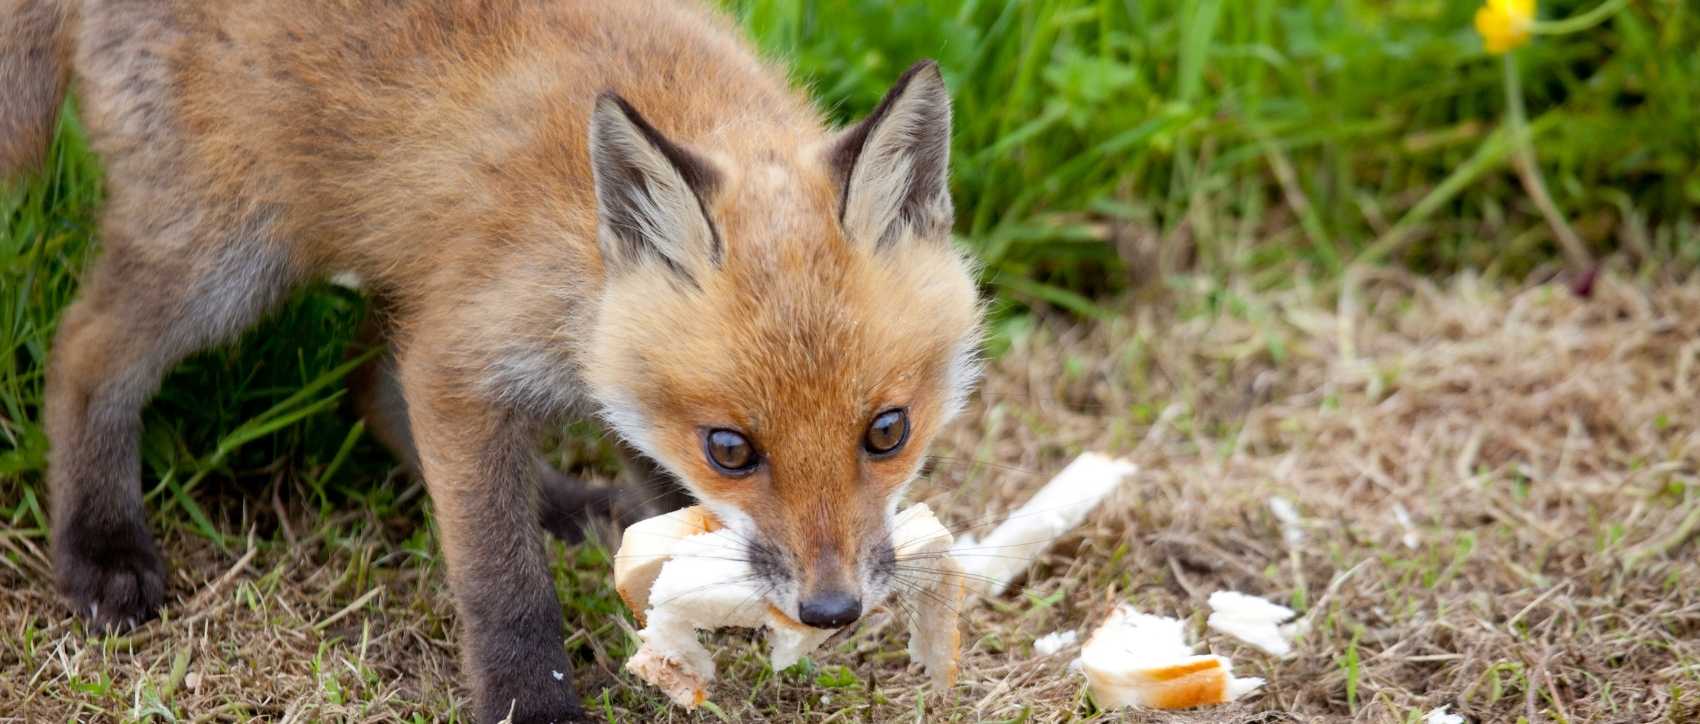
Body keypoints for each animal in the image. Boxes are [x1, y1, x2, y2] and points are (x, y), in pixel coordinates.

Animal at [0, 0, 986, 717]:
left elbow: (637, 460)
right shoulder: (463, 355)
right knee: (82, 354)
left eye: (888, 431)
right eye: (732, 450)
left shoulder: (534, 344)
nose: (833, 609)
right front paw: (532, 702)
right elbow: (501, 582)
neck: (584, 243)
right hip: (229, 260)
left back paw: (564, 503)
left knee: (370, 387)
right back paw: (98, 543)